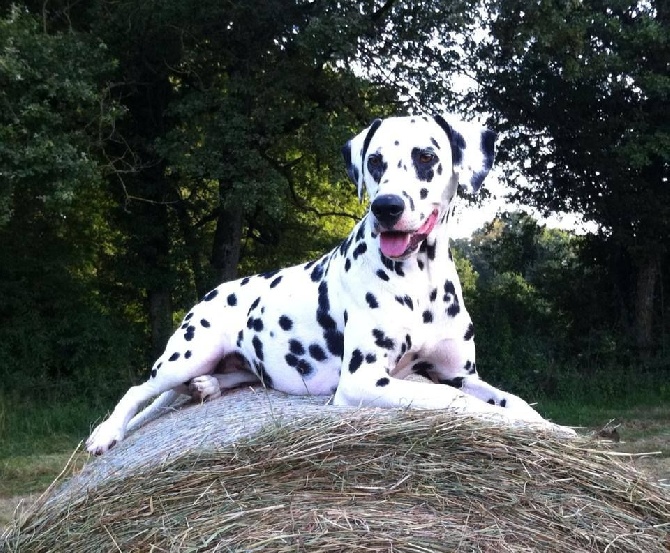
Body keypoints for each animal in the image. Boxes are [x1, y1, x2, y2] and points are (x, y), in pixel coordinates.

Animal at [86, 114, 576, 454]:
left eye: (426, 156)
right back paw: (107, 432)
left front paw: (553, 429)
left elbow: (513, 401)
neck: (421, 282)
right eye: (374, 161)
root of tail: (211, 292)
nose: (386, 206)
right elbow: (458, 405)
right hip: (188, 353)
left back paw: (205, 388)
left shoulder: (461, 374)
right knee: (139, 390)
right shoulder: (366, 381)